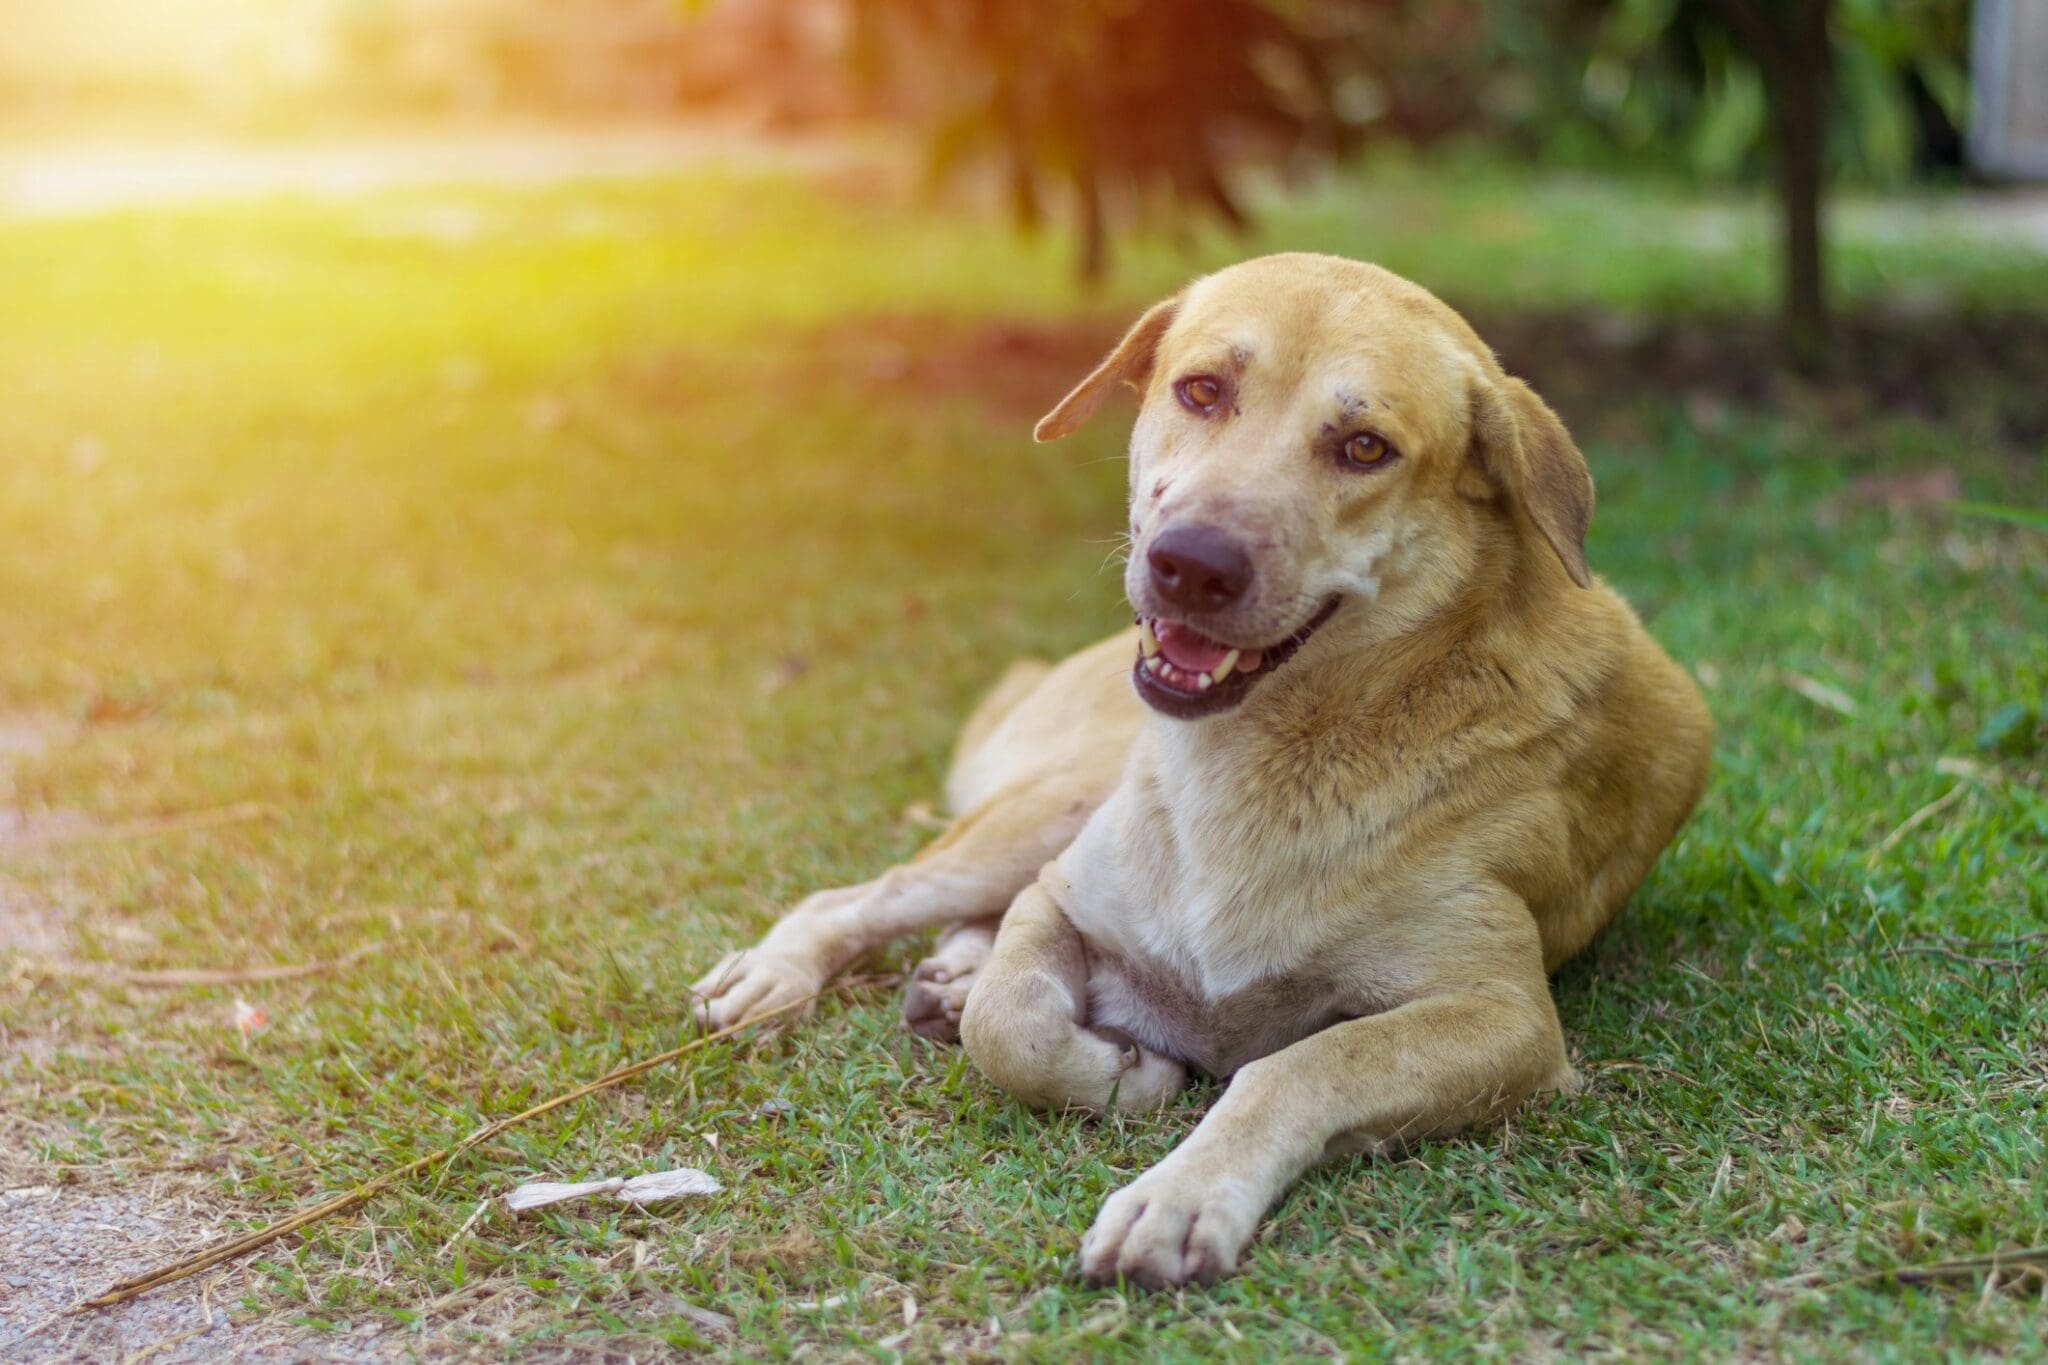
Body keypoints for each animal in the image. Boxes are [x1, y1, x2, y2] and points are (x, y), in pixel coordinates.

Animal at [696, 255, 1703, 1293]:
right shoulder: (1063, 893)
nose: (1190, 564)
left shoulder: (1503, 1017)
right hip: (1048, 809)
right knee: (870, 893)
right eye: (1203, 390)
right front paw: (1120, 1071)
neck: (1265, 755)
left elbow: (1302, 1063)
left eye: (1365, 447)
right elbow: (1010, 1022)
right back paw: (784, 971)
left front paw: (1179, 1193)